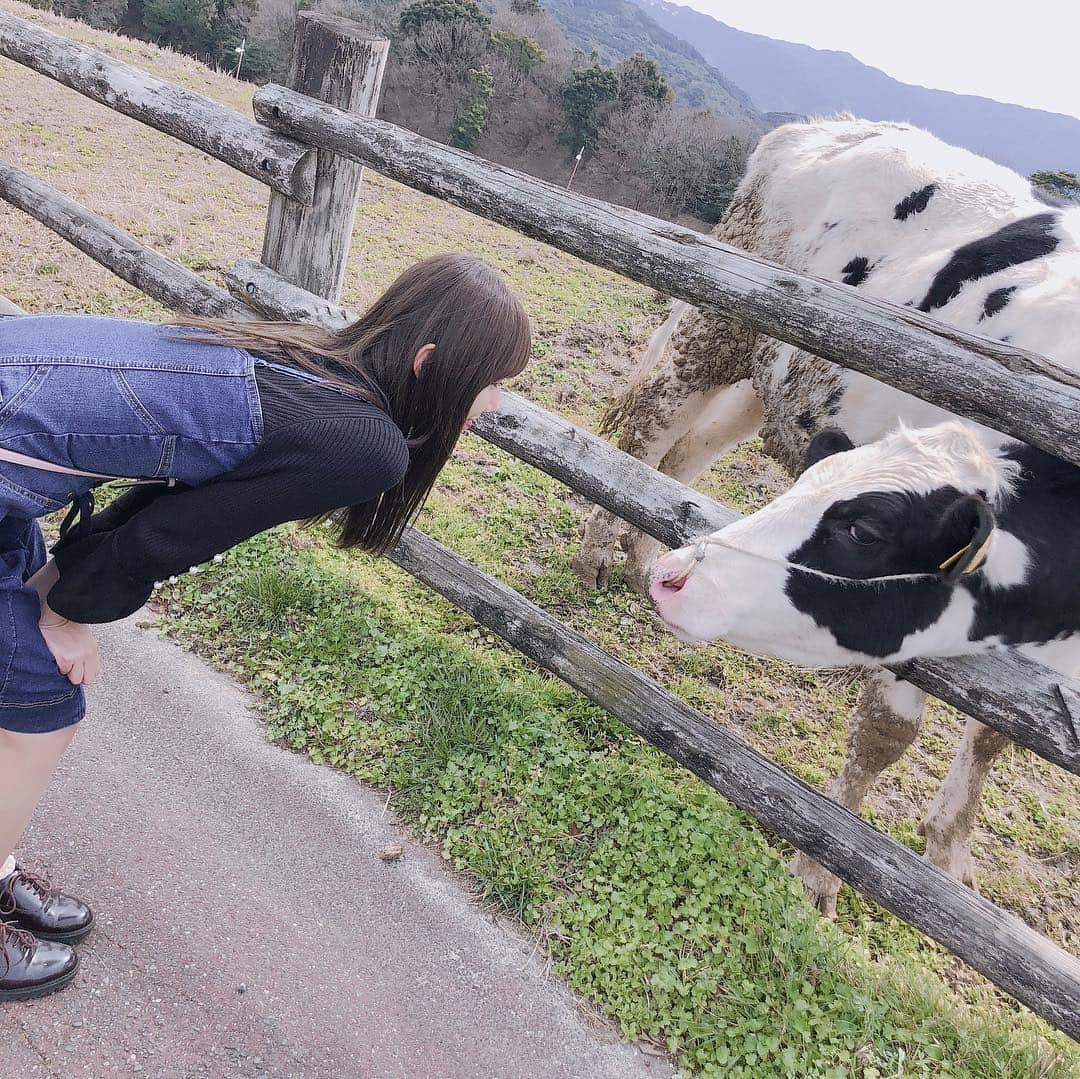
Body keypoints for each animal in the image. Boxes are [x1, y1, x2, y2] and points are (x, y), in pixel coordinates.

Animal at [578, 116, 1080, 911]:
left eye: (863, 530)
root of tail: (829, 125)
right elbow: (886, 733)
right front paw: (824, 868)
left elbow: (996, 736)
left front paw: (950, 852)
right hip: (719, 324)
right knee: (647, 429)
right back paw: (601, 554)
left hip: (771, 382)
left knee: (682, 457)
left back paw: (642, 555)